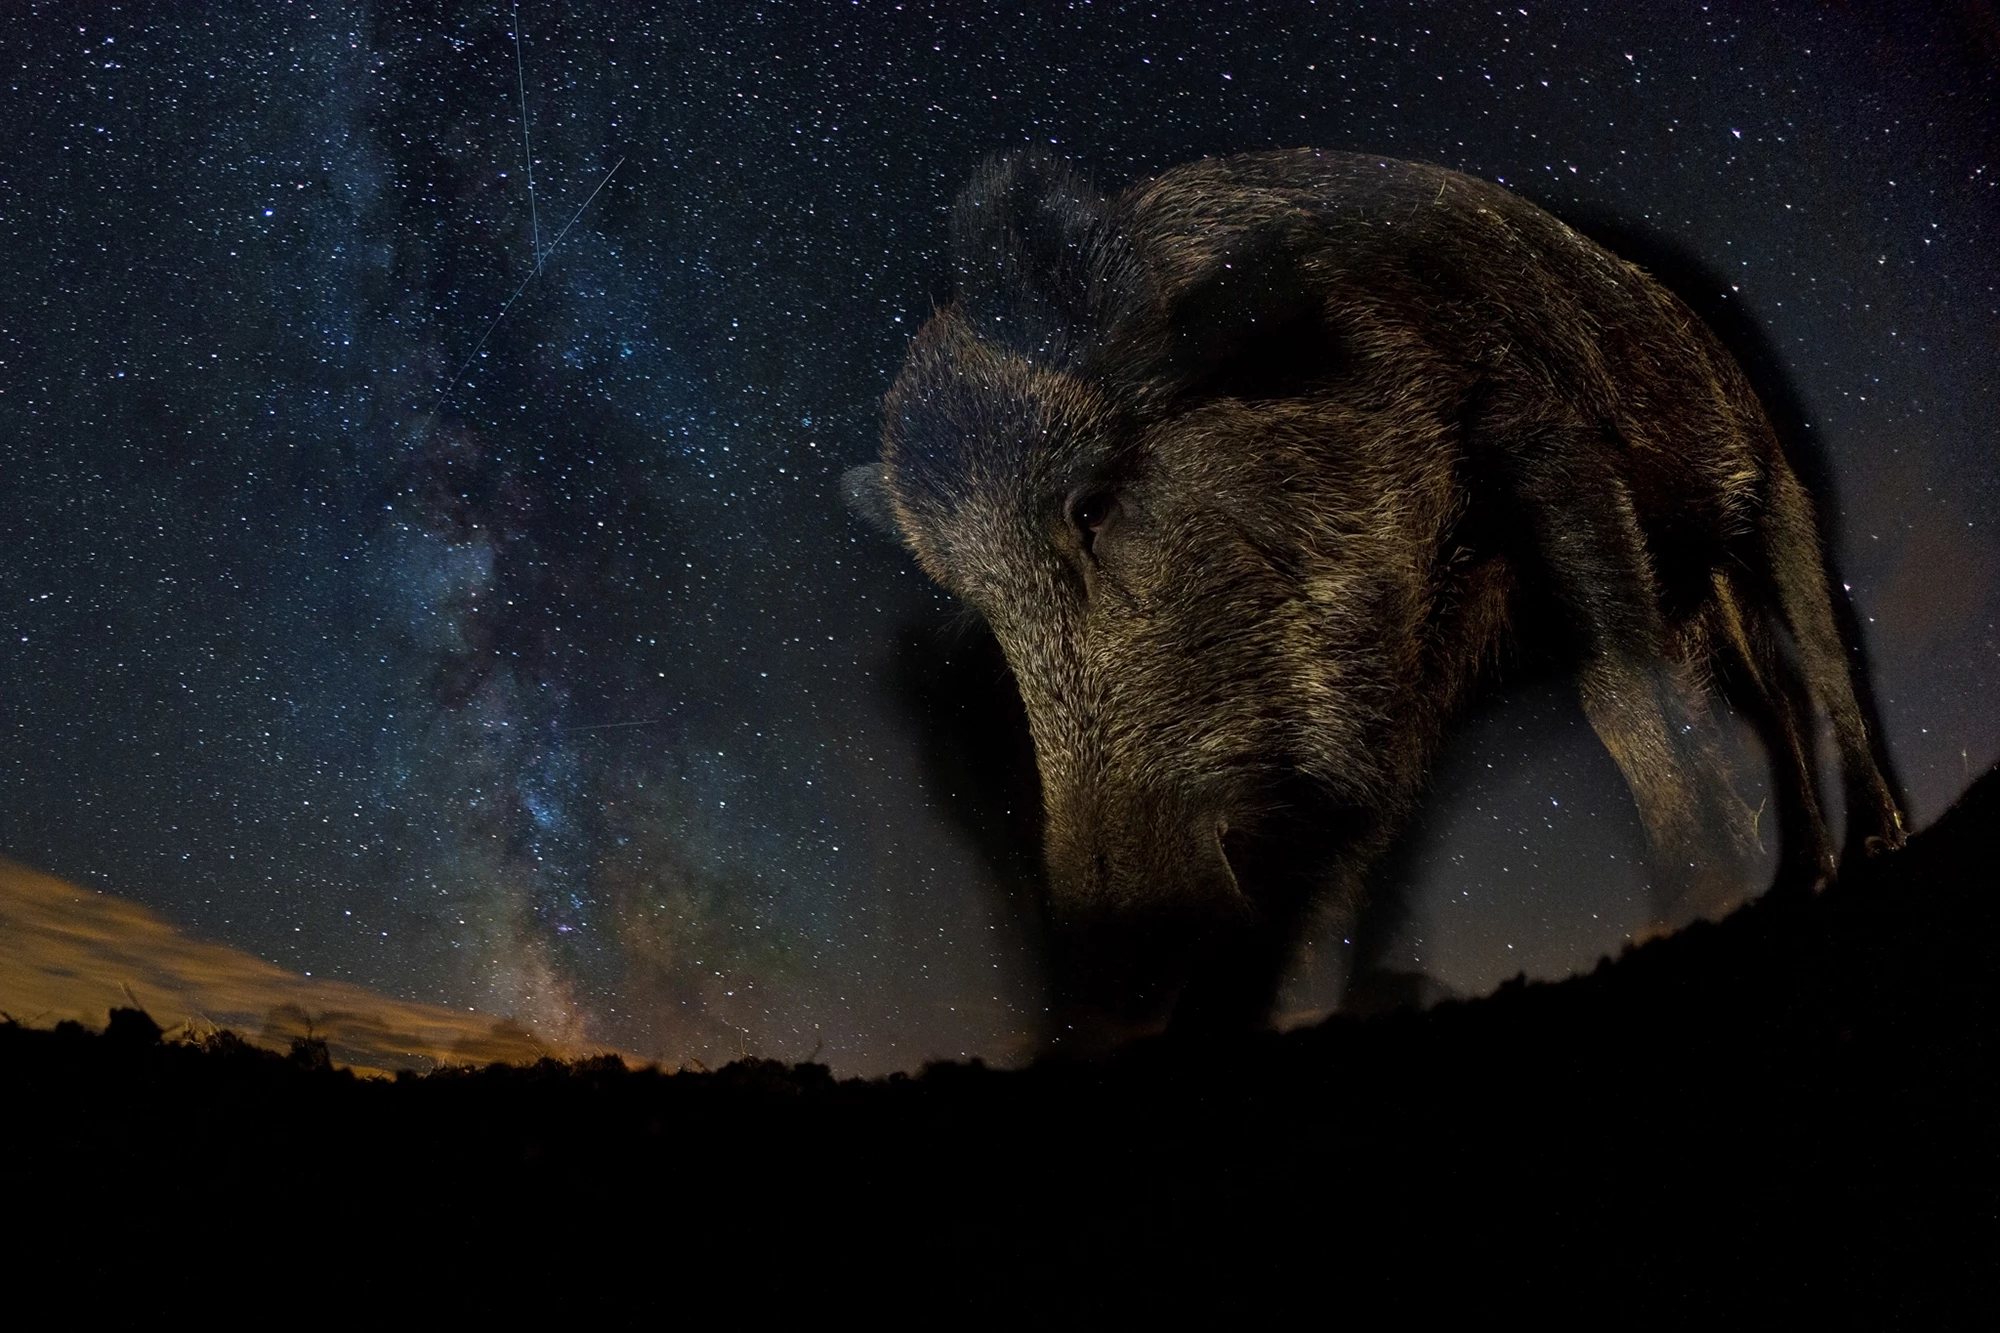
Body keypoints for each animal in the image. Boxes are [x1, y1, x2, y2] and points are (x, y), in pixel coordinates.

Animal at [846, 149, 1905, 1038]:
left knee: (1821, 660)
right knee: (1772, 703)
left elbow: (1617, 690)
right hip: (1701, 597)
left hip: (1772, 490)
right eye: (985, 613)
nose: (1108, 985)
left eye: (1091, 507)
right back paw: (1808, 875)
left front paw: (1686, 905)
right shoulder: (1393, 679)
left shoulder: (1545, 438)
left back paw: (1875, 843)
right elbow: (1350, 854)